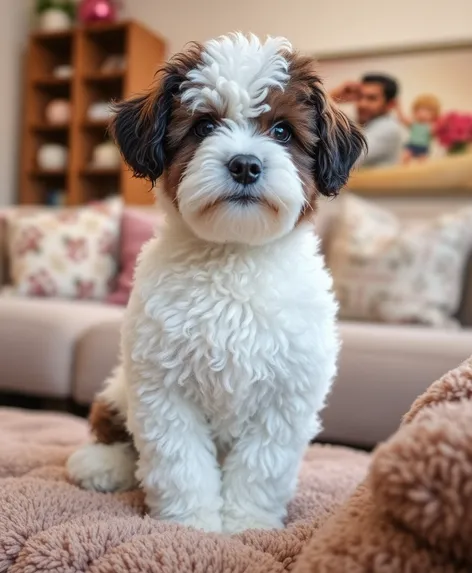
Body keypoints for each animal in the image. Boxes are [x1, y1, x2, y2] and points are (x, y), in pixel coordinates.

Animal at [67, 34, 366, 532]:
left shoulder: (286, 394)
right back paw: (101, 465)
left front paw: (247, 526)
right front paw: (193, 527)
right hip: (120, 388)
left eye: (282, 131)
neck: (233, 255)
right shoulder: (162, 386)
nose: (245, 165)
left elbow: (262, 466)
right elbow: (180, 462)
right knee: (115, 428)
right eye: (204, 126)